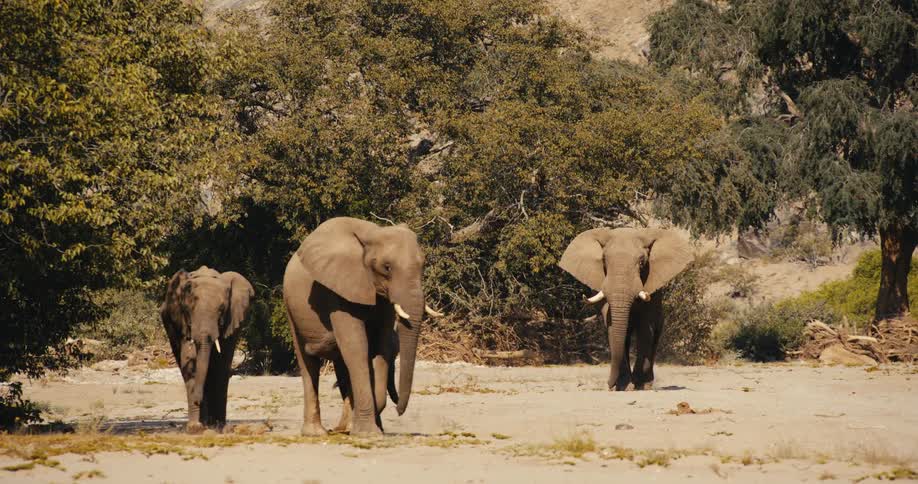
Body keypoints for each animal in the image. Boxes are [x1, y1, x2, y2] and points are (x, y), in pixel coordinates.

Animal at [160, 265, 254, 432]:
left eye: (222, 309)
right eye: (188, 309)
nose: (198, 400)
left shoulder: (231, 322)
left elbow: (221, 364)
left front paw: (217, 427)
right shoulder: (182, 321)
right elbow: (189, 360)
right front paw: (195, 428)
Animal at [282, 217, 442, 437]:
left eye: (423, 265)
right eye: (387, 267)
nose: (399, 410)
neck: (372, 234)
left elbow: (381, 344)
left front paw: (369, 428)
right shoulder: (338, 288)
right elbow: (356, 346)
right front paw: (368, 434)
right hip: (291, 307)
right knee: (309, 364)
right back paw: (317, 433)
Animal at [559, 228, 692, 391]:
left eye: (642, 262)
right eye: (604, 260)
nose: (608, 384)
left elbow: (645, 328)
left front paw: (638, 385)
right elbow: (612, 327)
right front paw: (624, 386)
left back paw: (647, 383)